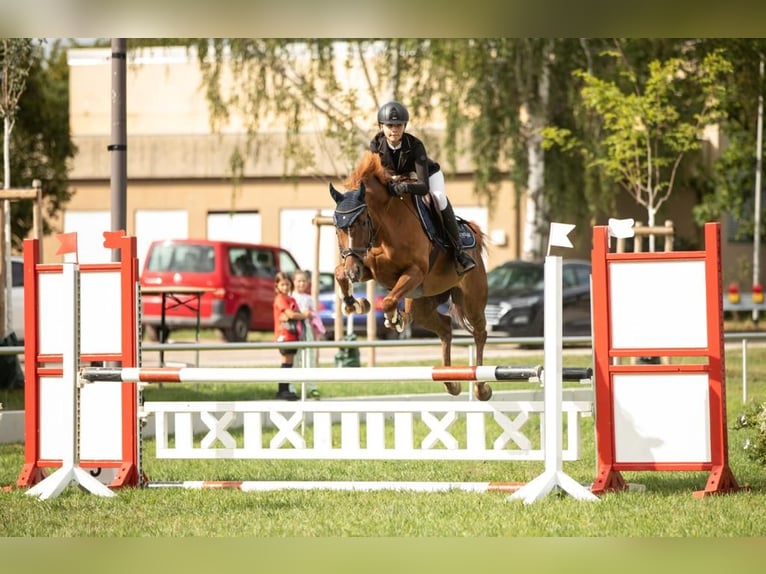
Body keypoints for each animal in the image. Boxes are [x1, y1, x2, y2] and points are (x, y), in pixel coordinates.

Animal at [330, 152, 492, 400]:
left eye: (362, 221)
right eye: (336, 226)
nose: (352, 272)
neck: (385, 227)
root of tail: (473, 232)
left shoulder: (414, 272)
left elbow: (388, 300)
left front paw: (394, 319)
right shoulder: (371, 270)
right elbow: (339, 274)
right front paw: (354, 304)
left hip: (472, 299)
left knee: (480, 332)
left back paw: (481, 387)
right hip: (423, 305)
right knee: (445, 327)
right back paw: (451, 383)